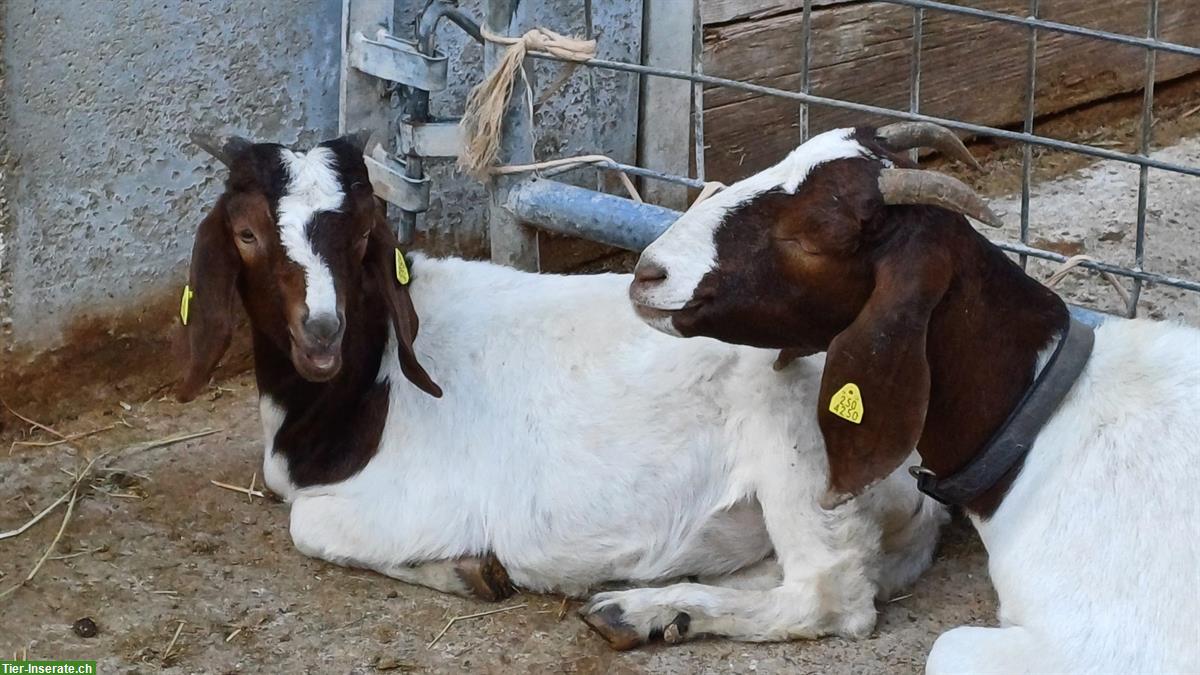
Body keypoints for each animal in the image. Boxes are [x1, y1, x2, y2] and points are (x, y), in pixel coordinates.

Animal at [177, 127, 945, 648]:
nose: (321, 333)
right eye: (245, 233)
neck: (369, 382)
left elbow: (308, 527)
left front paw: (465, 569)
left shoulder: (416, 500)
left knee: (828, 590)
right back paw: (650, 607)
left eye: (365, 236)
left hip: (803, 443)